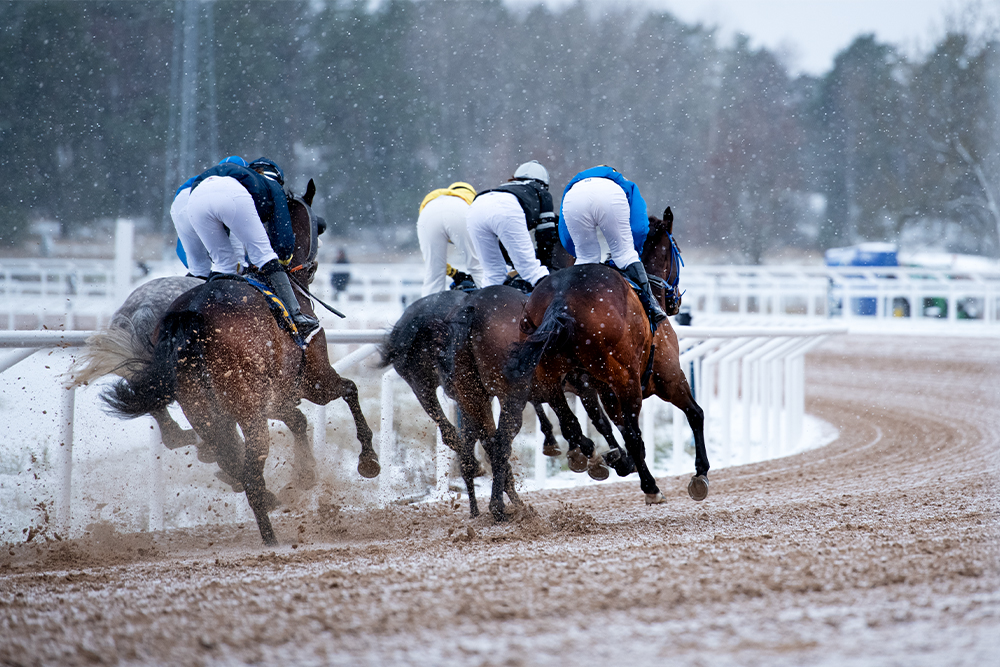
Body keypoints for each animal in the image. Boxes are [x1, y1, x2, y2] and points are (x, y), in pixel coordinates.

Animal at [101, 180, 376, 544]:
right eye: (319, 225)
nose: (313, 269)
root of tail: (192, 315)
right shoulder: (314, 378)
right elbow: (349, 390)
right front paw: (368, 461)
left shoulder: (277, 397)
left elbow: (299, 421)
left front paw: (304, 475)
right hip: (248, 412)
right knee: (249, 471)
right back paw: (271, 538)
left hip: (206, 411)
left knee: (220, 453)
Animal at [504, 206, 708, 516]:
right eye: (677, 251)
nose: (675, 302)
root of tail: (561, 299)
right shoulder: (669, 378)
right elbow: (695, 414)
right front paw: (700, 474)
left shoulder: (605, 390)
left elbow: (612, 425)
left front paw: (617, 460)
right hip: (626, 382)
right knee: (633, 435)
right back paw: (651, 487)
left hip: (549, 374)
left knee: (568, 418)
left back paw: (587, 452)